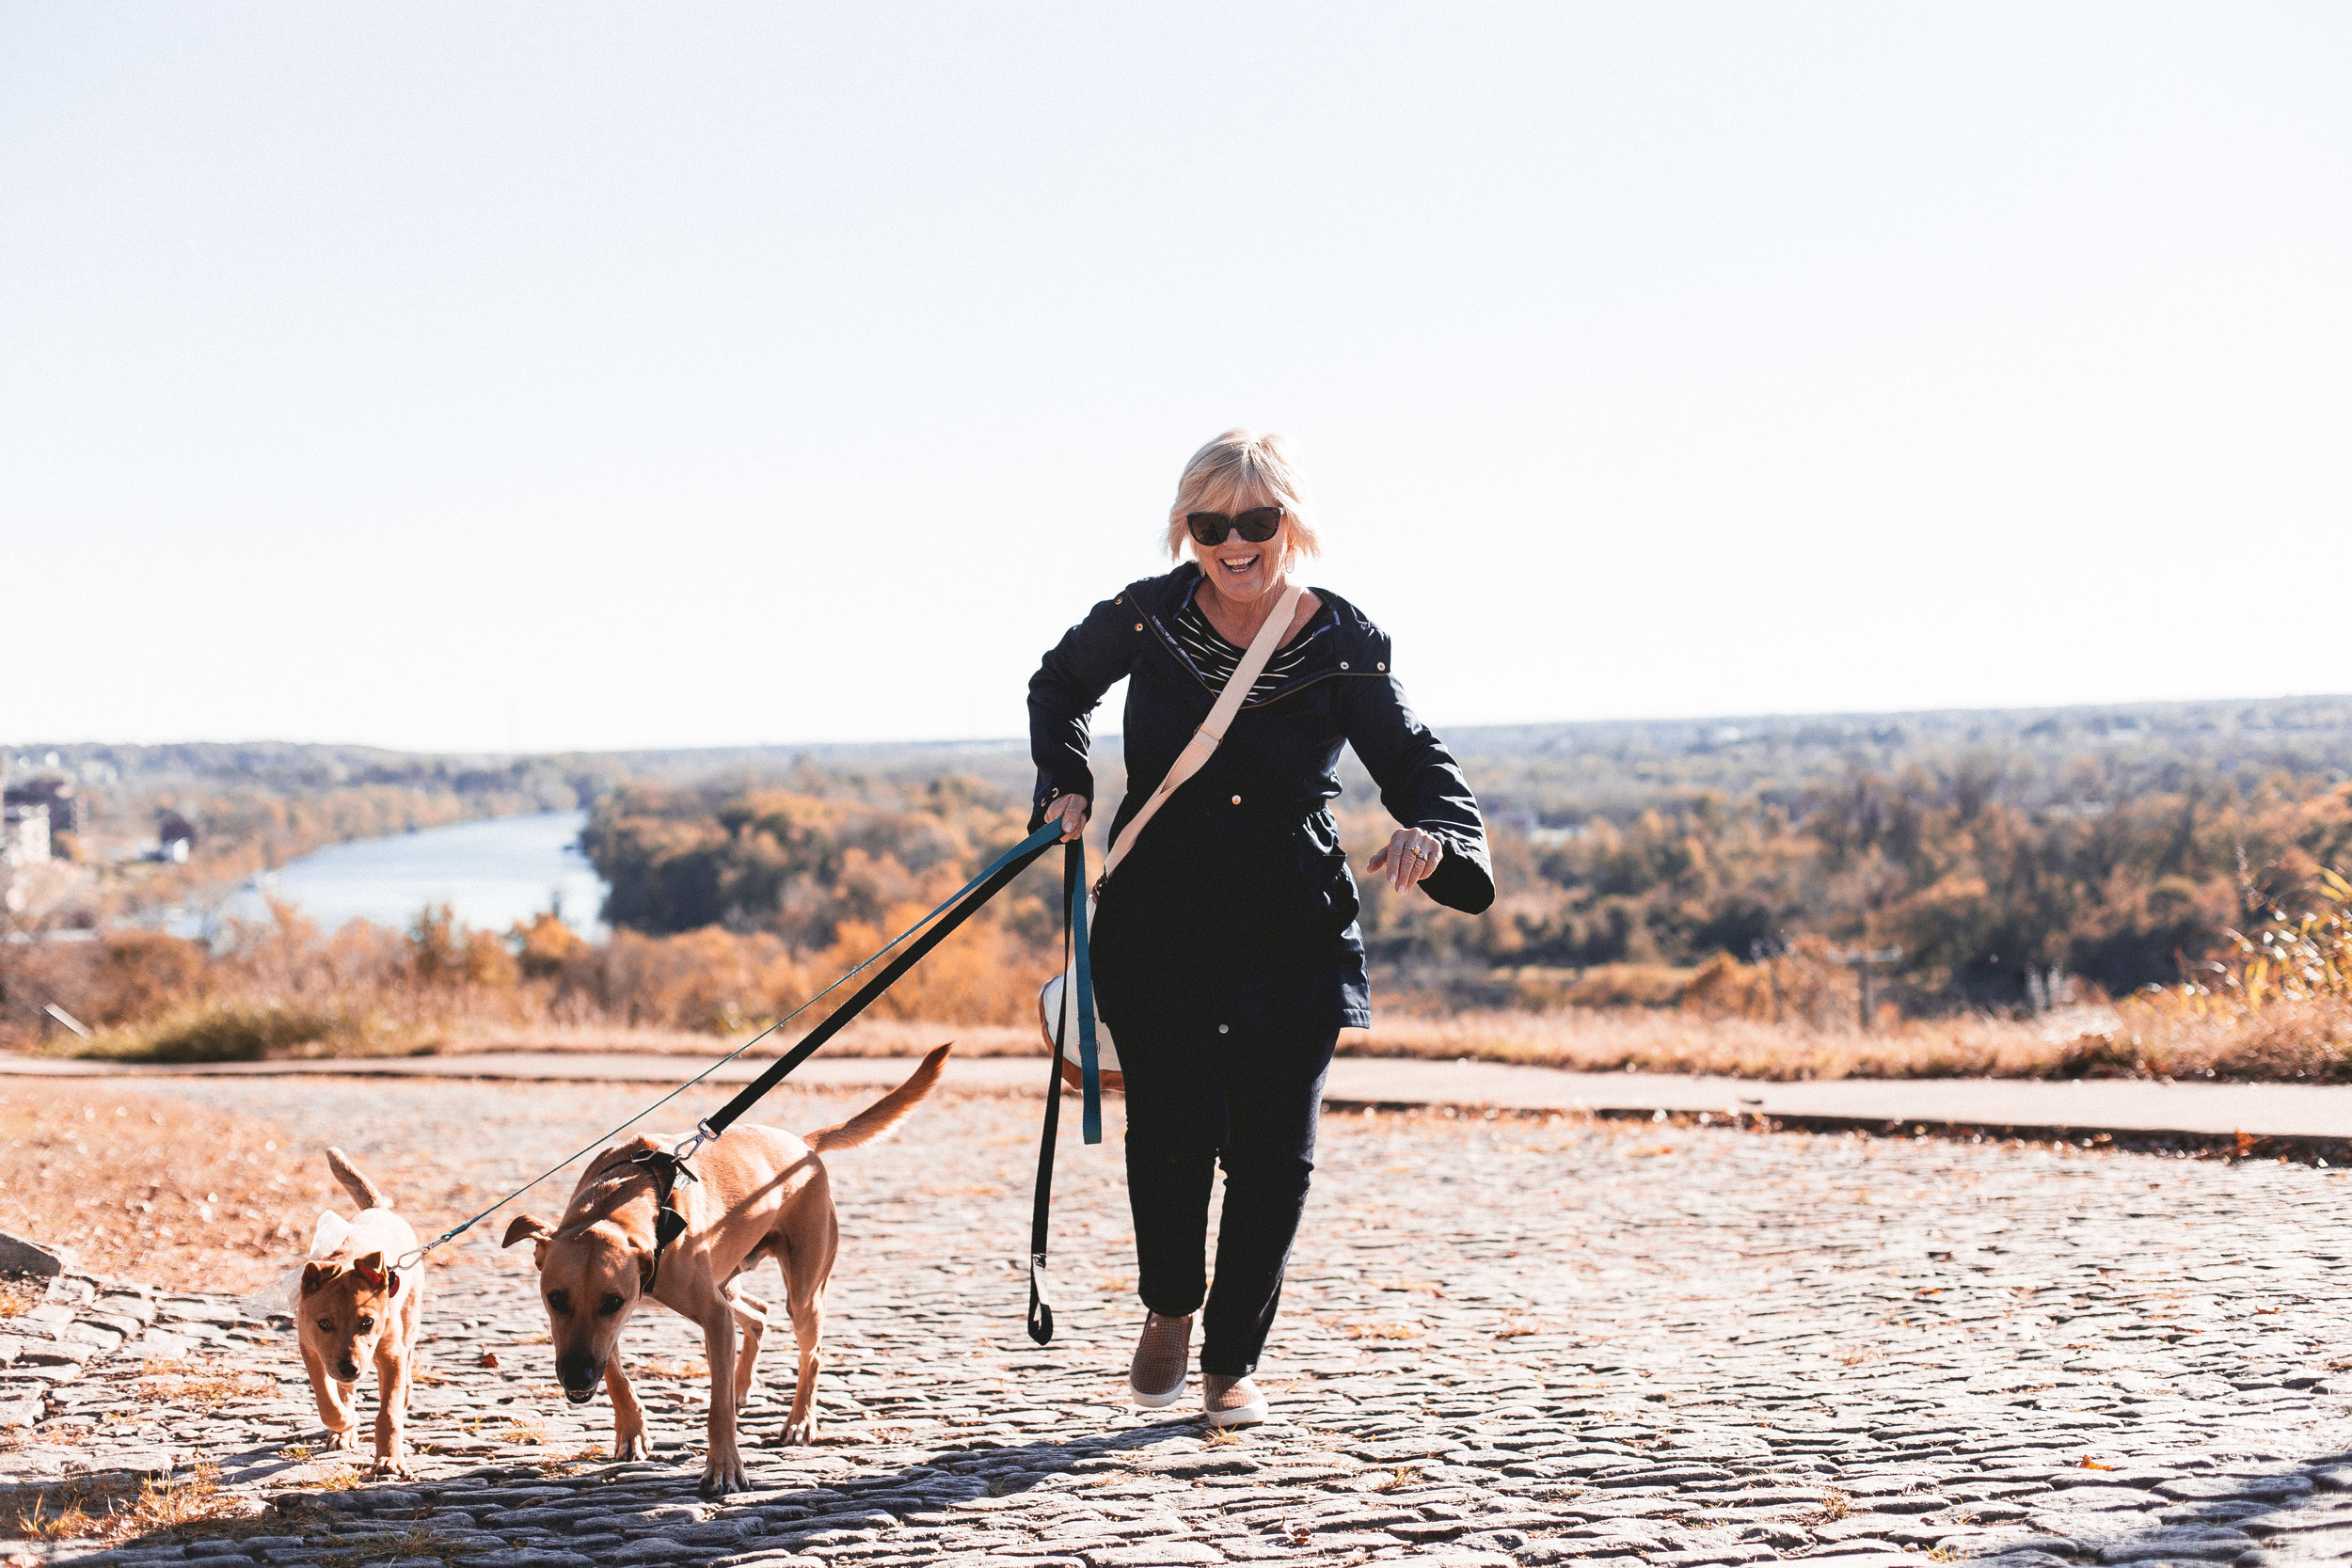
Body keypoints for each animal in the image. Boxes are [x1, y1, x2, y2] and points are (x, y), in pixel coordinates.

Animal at [296, 1147, 425, 1476]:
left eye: (368, 1322)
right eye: (324, 1323)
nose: (350, 1368)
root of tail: (380, 1210)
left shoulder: (391, 1355)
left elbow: (388, 1412)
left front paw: (389, 1460)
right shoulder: (311, 1349)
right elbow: (328, 1402)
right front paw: (344, 1424)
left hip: (410, 1320)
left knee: (408, 1357)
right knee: (345, 1391)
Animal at [510, 1043, 950, 1495]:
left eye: (611, 1302)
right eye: (555, 1299)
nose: (577, 1379)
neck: (622, 1199)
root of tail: (803, 1145)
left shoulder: (705, 1316)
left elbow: (716, 1407)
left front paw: (724, 1466)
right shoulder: (617, 1326)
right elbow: (617, 1376)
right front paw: (632, 1431)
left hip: (801, 1295)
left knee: (809, 1352)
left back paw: (799, 1422)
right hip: (727, 1282)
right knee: (759, 1315)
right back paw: (744, 1387)